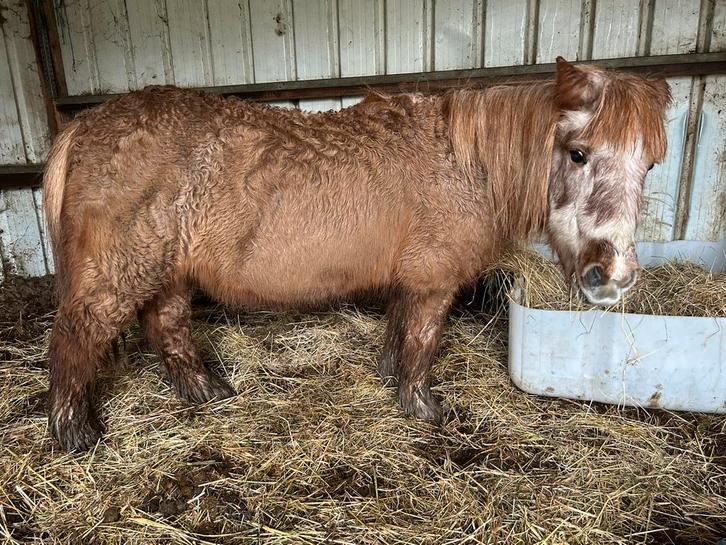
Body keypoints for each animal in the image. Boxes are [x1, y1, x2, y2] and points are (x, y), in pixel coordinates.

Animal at [43, 57, 670, 451]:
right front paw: (423, 409)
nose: (613, 276)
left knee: (167, 325)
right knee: (75, 338)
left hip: (168, 271)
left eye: (649, 164)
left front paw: (391, 378)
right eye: (578, 153)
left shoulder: (409, 280)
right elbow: (423, 341)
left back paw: (205, 392)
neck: (468, 163)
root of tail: (85, 126)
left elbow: (399, 332)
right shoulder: (433, 281)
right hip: (116, 277)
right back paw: (74, 435)